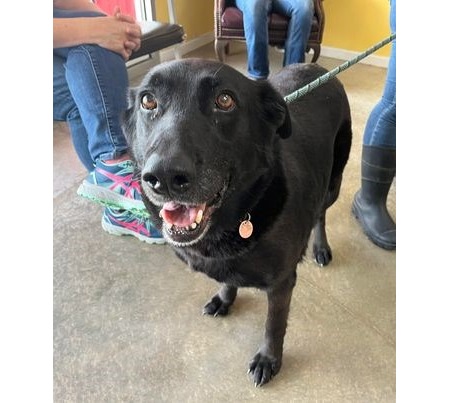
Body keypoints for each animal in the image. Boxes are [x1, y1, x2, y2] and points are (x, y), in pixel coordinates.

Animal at [123, 58, 352, 386]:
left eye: (225, 100)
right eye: (148, 101)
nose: (164, 176)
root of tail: (316, 67)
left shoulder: (282, 284)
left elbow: (273, 325)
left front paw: (269, 359)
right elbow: (227, 280)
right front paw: (224, 299)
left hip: (333, 180)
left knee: (321, 212)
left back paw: (319, 247)